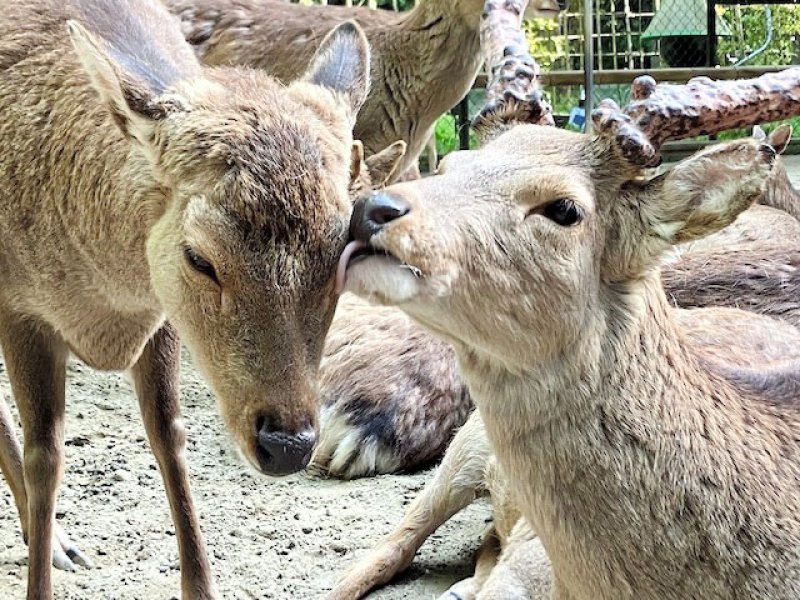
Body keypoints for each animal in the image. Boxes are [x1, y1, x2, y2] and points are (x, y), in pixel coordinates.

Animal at [0, 0, 371, 598]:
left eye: (345, 252)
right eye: (199, 257)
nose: (287, 444)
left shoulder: (163, 317)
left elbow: (168, 434)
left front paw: (201, 584)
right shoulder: (18, 306)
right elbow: (46, 456)